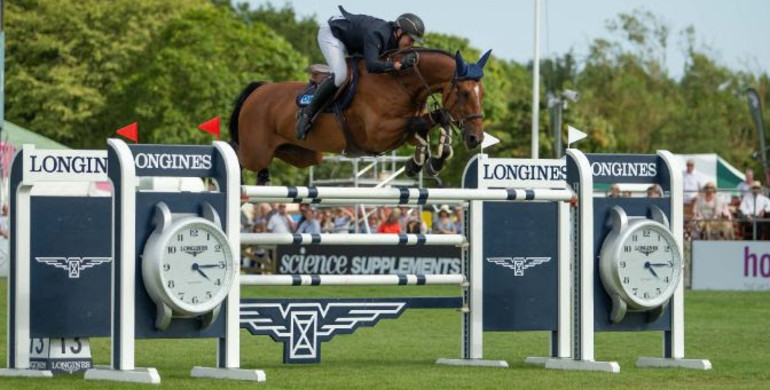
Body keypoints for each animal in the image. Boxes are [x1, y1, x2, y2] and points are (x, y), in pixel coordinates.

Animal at [230, 47, 492, 186]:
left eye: (482, 92)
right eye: (464, 93)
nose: (475, 139)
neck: (401, 83)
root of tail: (260, 89)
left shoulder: (405, 132)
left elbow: (436, 120)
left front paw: (429, 162)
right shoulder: (378, 135)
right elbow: (425, 122)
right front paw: (422, 162)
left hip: (302, 155)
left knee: (267, 163)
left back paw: (264, 180)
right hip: (255, 151)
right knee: (236, 153)